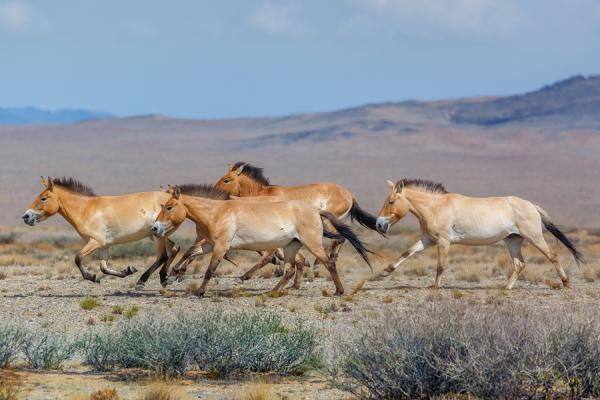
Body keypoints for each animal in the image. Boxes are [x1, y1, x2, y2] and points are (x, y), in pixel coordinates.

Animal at [21, 177, 180, 286]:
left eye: (43, 198)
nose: (26, 216)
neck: (86, 209)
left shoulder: (95, 242)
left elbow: (78, 258)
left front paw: (92, 277)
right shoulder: (104, 245)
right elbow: (103, 268)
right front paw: (128, 270)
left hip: (158, 236)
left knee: (163, 256)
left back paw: (143, 280)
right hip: (158, 235)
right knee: (174, 248)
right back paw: (166, 277)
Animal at [151, 186, 370, 296]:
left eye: (169, 207)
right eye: (163, 206)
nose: (155, 228)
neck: (217, 212)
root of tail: (316, 211)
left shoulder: (221, 246)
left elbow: (210, 270)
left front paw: (199, 291)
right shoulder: (210, 244)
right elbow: (190, 253)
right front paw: (173, 274)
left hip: (313, 244)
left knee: (329, 262)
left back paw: (339, 291)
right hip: (291, 246)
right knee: (290, 269)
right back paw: (273, 291)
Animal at [213, 161, 378, 280]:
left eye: (226, 180)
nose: (215, 191)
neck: (263, 194)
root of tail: (349, 194)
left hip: (328, 220)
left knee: (338, 239)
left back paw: (318, 264)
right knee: (342, 238)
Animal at [376, 180, 580, 290]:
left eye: (391, 201)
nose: (379, 224)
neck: (436, 207)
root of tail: (531, 205)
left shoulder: (443, 241)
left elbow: (440, 265)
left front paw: (435, 286)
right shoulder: (428, 240)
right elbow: (407, 253)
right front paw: (384, 272)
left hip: (535, 237)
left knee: (552, 256)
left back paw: (566, 283)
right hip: (513, 241)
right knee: (519, 264)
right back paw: (506, 287)